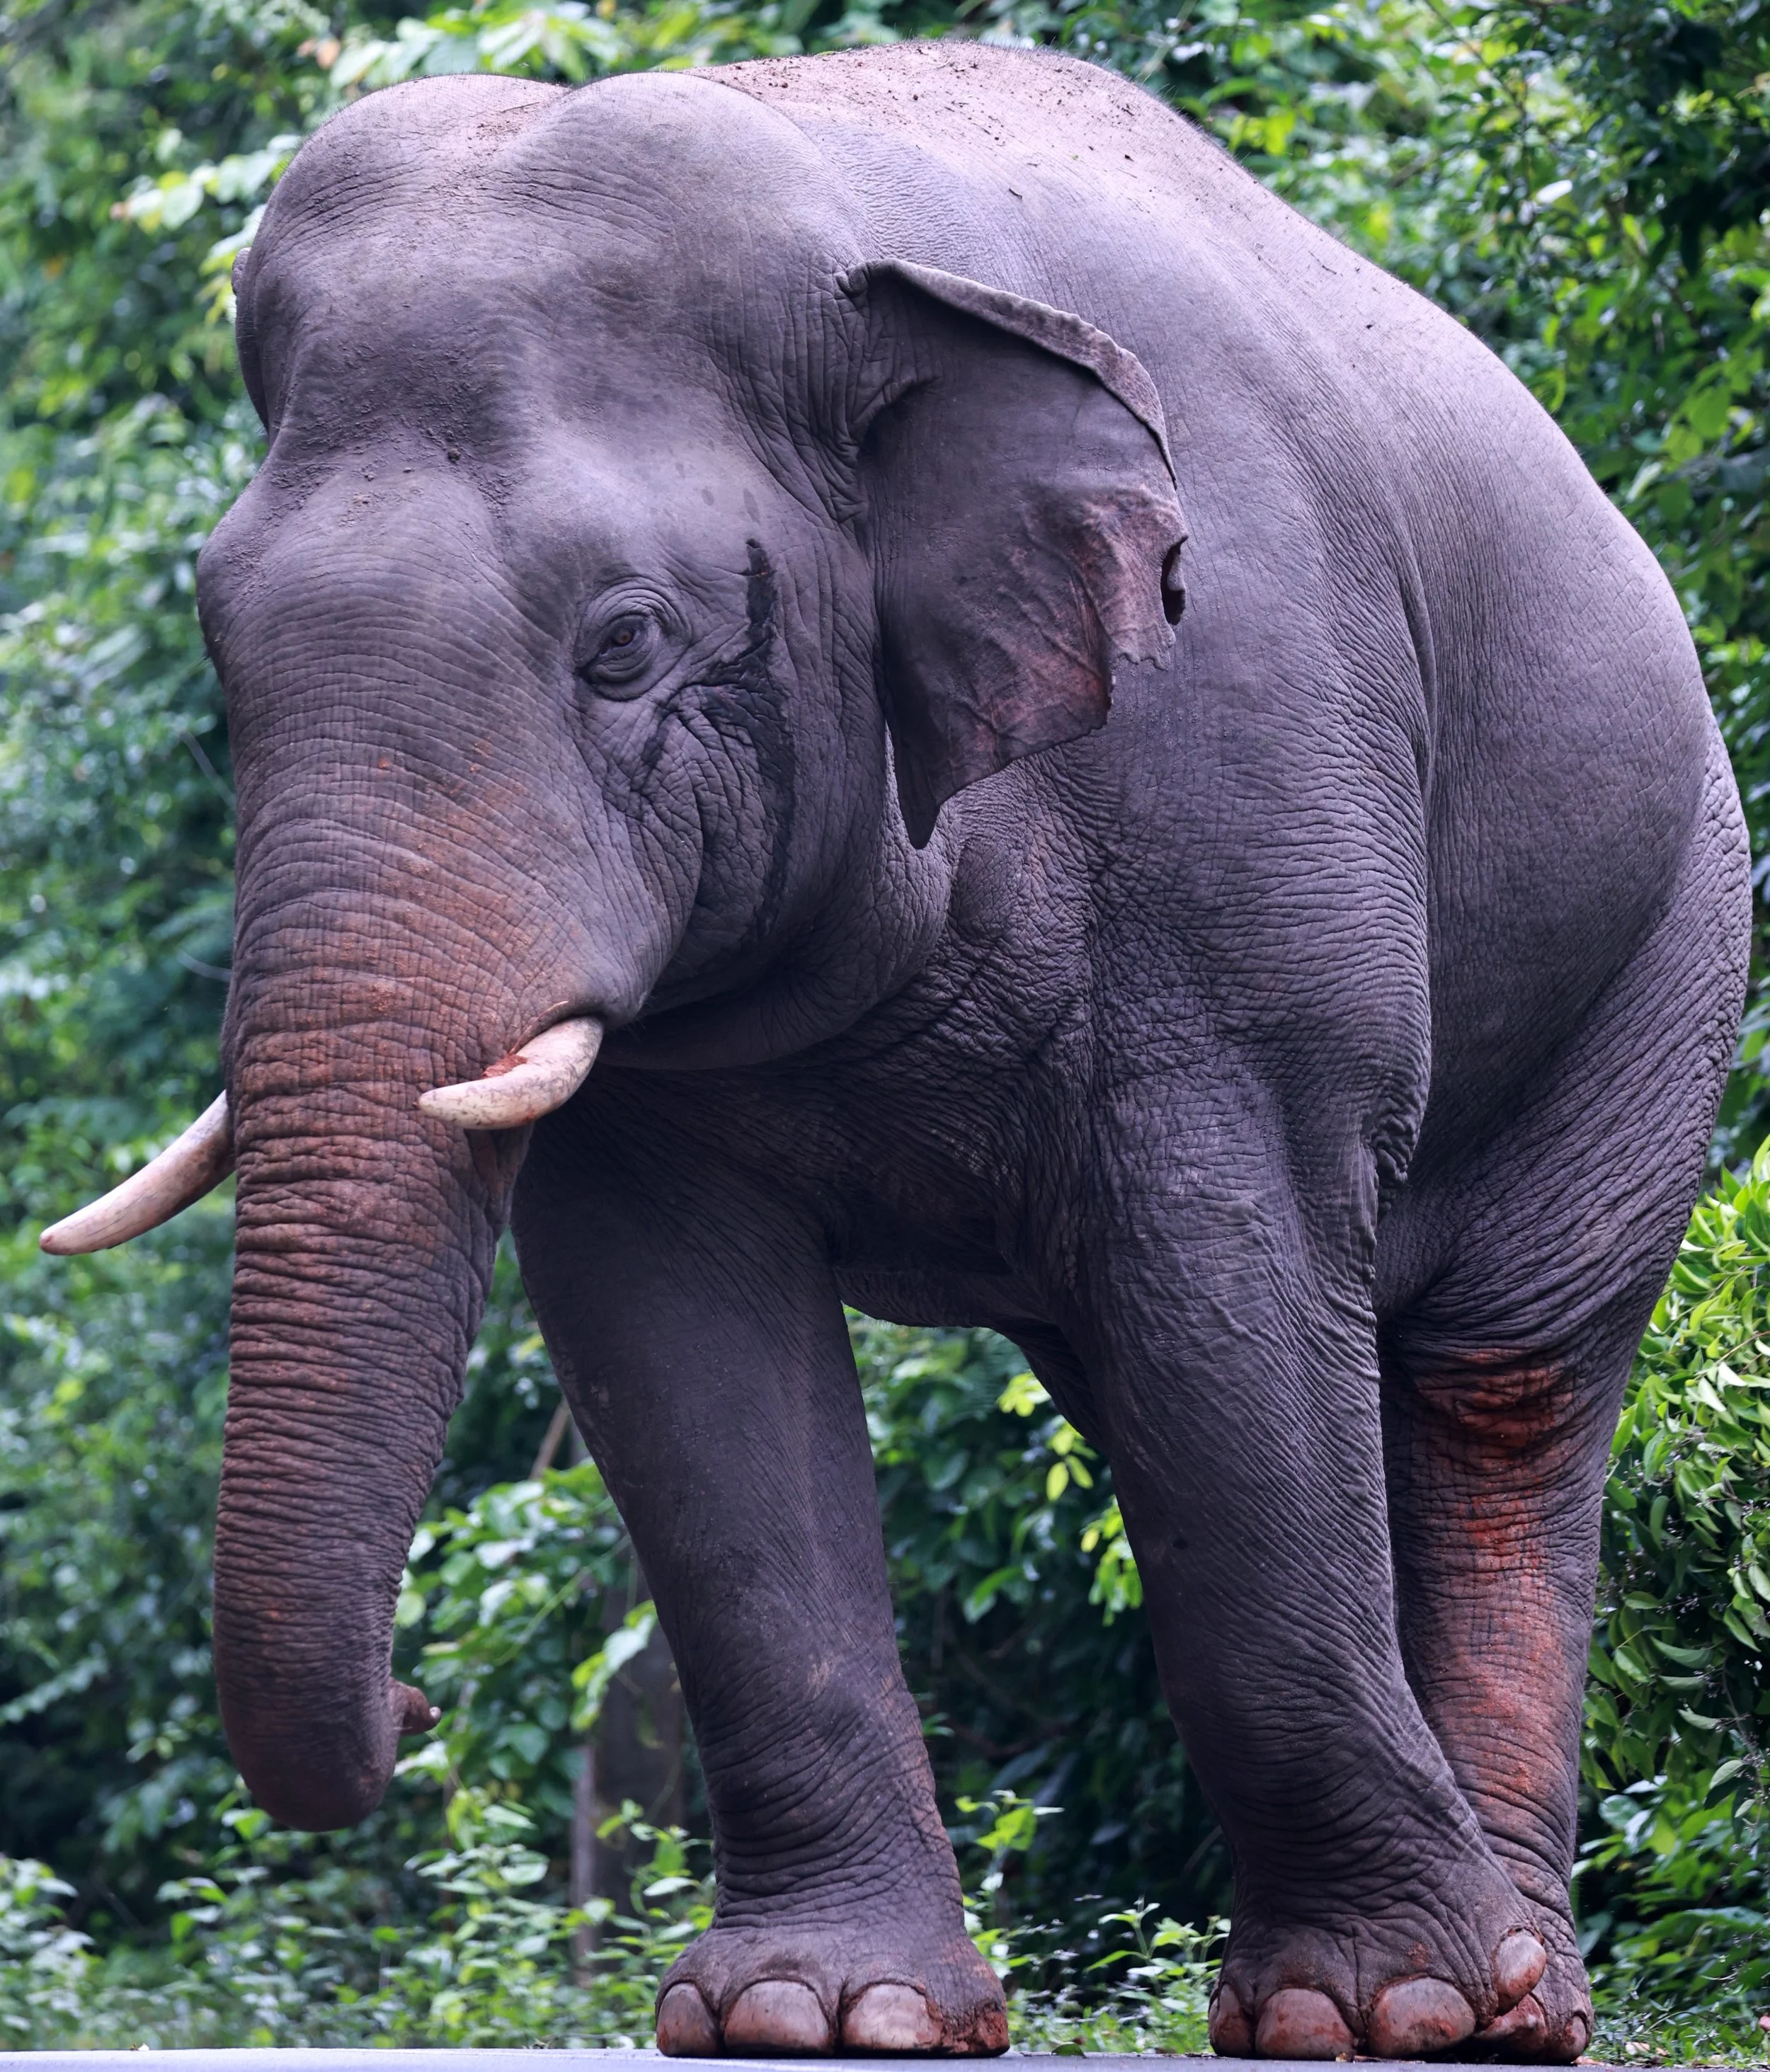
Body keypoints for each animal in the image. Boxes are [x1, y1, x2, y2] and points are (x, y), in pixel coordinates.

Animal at [42, 37, 1750, 2065]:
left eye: (623, 647)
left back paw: (1508, 2001)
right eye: (219, 651)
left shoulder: (1248, 799)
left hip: (1666, 942)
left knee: (1502, 1383)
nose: (417, 1706)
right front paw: (811, 2012)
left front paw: (1379, 2004)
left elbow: (1230, 1275)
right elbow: (677, 1347)